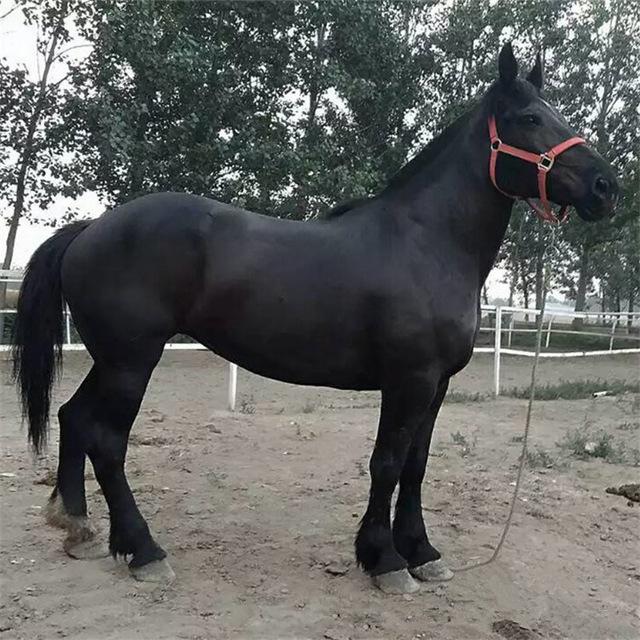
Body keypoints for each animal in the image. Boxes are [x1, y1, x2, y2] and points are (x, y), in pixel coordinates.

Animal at [12, 43, 617, 594]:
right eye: (529, 118)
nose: (606, 187)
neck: (428, 243)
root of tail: (91, 229)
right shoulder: (409, 380)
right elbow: (387, 463)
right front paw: (385, 560)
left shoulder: (437, 384)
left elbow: (417, 465)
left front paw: (422, 552)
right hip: (132, 361)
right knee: (107, 439)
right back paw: (143, 550)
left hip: (112, 360)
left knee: (72, 418)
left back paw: (77, 527)